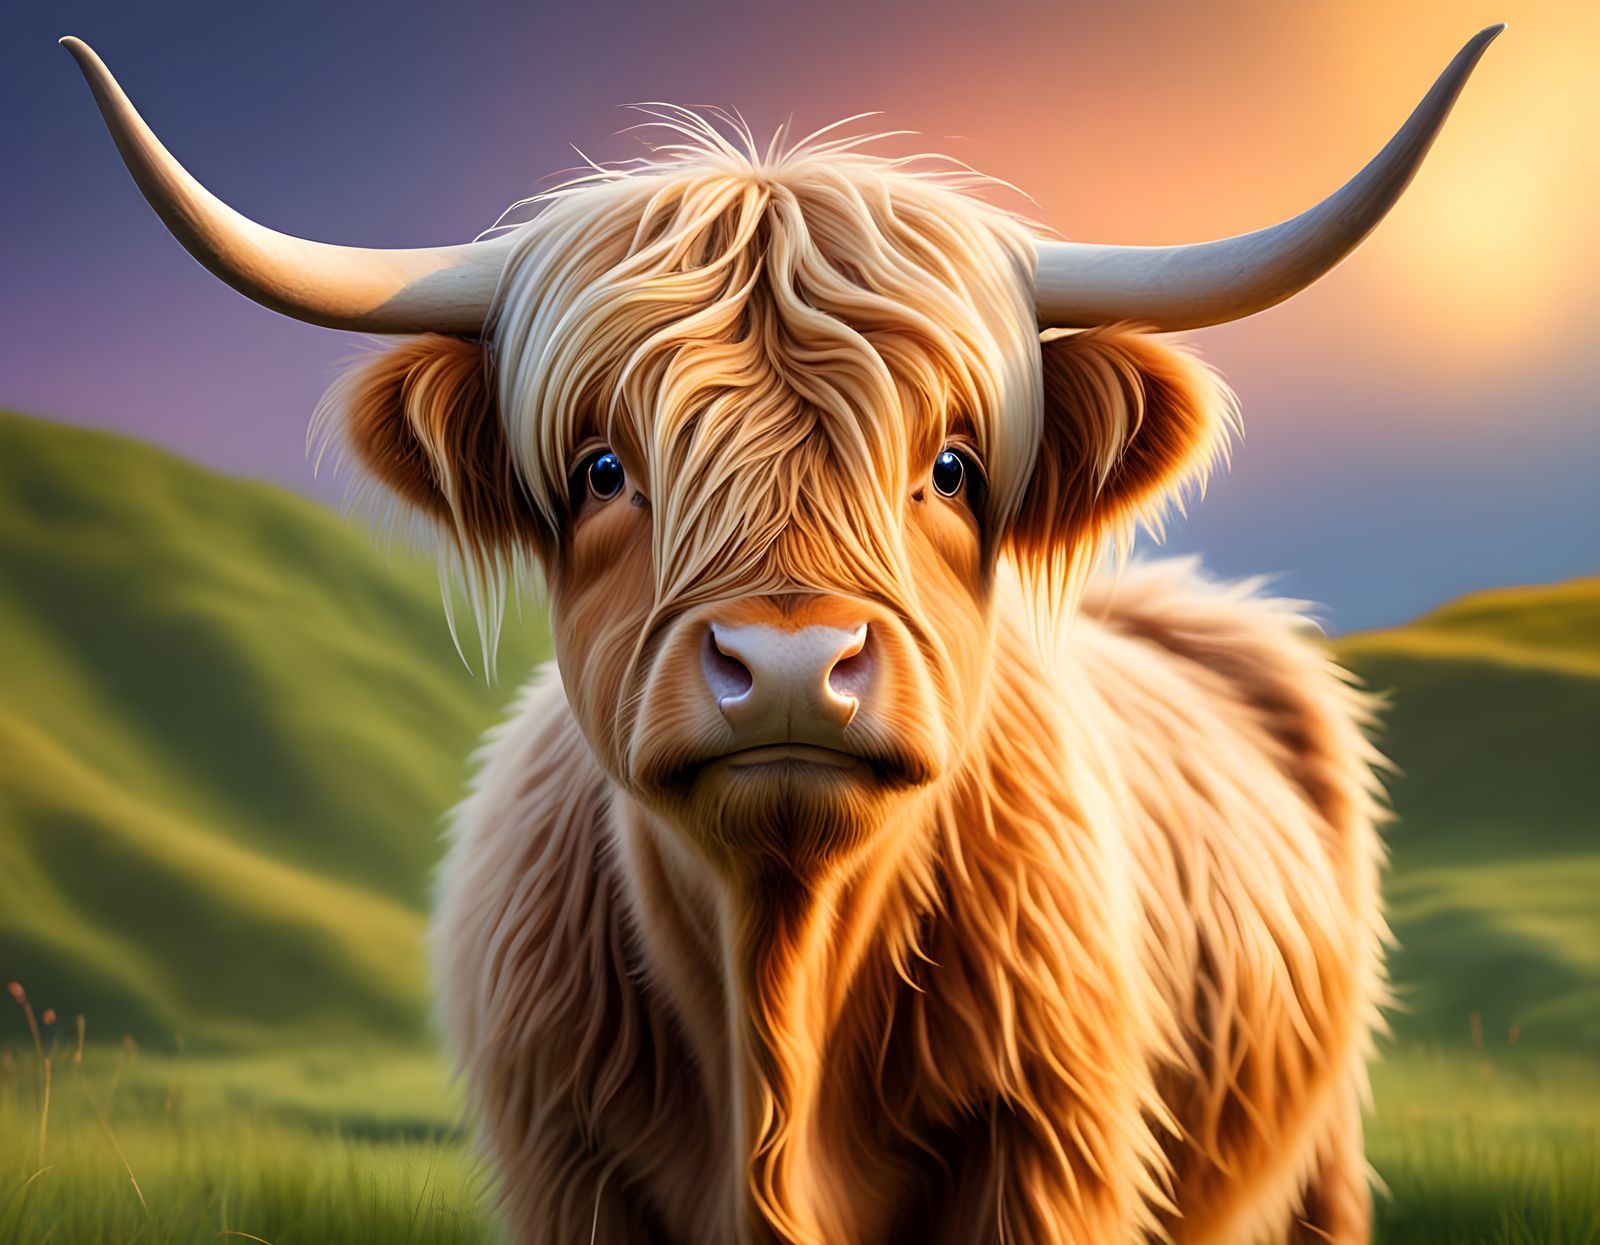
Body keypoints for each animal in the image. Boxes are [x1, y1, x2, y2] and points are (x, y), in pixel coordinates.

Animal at [66, 27, 1501, 1244]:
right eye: (601, 468)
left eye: (952, 466)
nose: (796, 669)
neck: (779, 989)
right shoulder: (564, 1164)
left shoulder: (1047, 1154)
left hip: (1320, 1159)